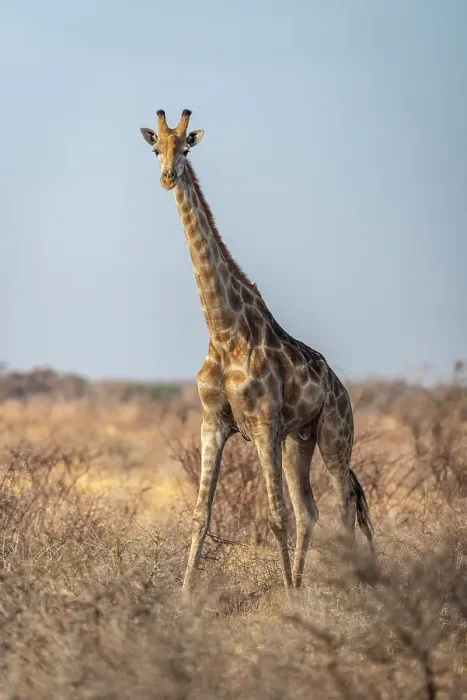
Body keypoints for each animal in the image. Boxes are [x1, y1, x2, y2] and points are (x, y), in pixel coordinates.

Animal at [140, 109, 374, 594]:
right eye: (156, 149)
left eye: (186, 148)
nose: (168, 177)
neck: (223, 331)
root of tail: (341, 389)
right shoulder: (214, 422)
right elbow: (201, 515)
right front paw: (185, 596)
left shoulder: (265, 425)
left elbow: (274, 516)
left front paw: (284, 598)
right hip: (299, 441)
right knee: (311, 509)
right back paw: (302, 585)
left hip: (335, 434)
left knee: (344, 503)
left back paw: (346, 586)